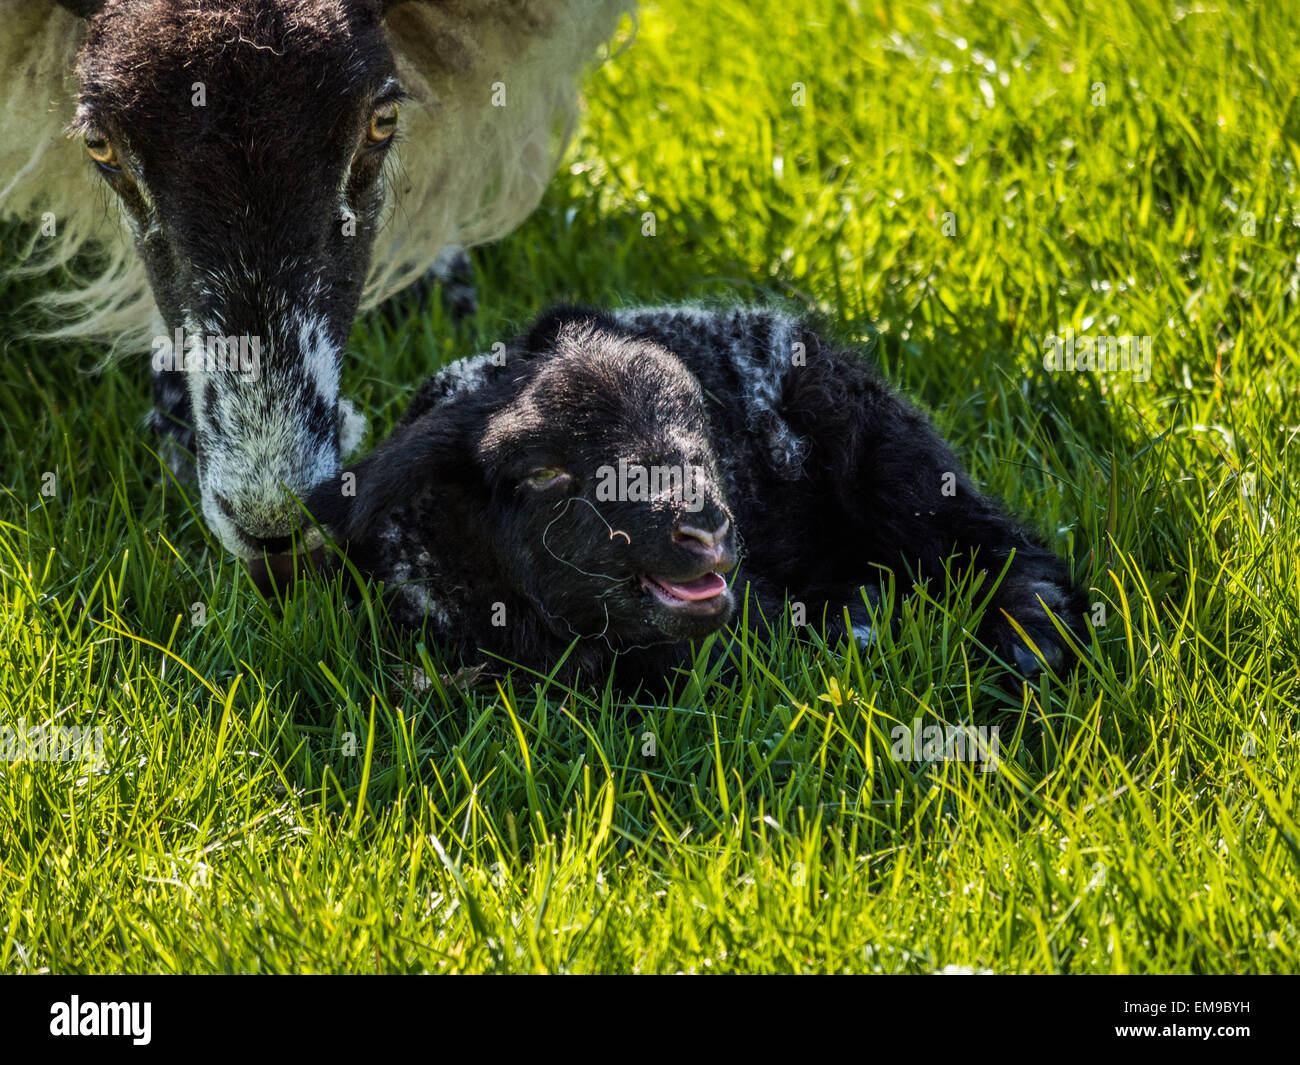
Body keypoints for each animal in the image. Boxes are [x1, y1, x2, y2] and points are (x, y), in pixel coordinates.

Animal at [307, 304, 1089, 688]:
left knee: (994, 542)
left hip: (886, 451)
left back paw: (1035, 641)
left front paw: (860, 621)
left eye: (698, 426)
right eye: (542, 474)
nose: (706, 531)